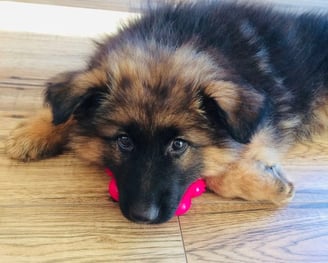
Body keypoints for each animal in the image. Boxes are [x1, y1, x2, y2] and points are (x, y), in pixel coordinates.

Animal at [5, 2, 328, 225]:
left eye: (179, 145)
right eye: (124, 141)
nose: (142, 217)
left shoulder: (264, 122)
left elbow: (217, 169)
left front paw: (267, 183)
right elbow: (68, 110)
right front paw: (34, 132)